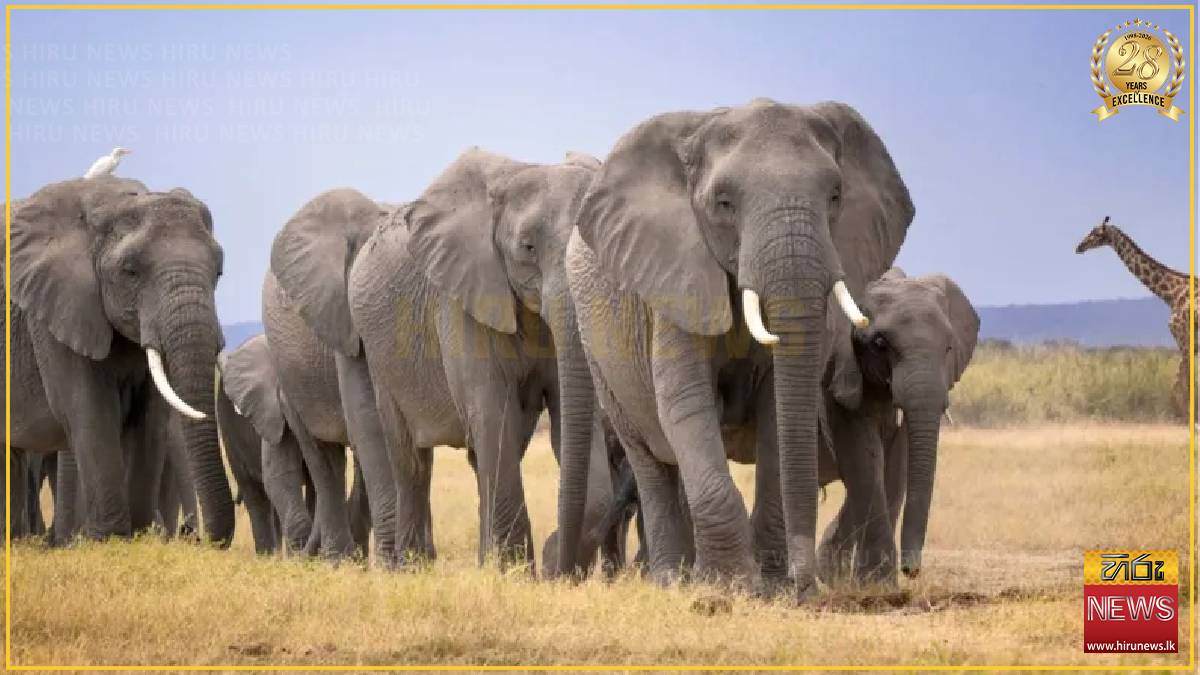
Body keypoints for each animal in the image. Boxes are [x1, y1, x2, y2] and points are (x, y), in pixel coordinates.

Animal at [4, 179, 235, 543]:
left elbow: (150, 420)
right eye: (130, 271)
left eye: (219, 271)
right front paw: (110, 540)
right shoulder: (55, 312)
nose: (196, 535)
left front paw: (137, 538)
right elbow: (91, 411)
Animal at [270, 148, 612, 571]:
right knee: (409, 460)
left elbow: (571, 414)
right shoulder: (459, 301)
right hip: (378, 351)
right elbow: (490, 413)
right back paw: (410, 567)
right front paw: (514, 572)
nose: (556, 566)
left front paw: (526, 567)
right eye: (528, 248)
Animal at [560, 99, 914, 597]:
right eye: (723, 203)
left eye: (835, 196)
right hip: (599, 351)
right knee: (651, 459)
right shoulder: (675, 276)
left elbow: (777, 411)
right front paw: (727, 588)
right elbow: (687, 403)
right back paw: (671, 581)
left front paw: (771, 588)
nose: (807, 587)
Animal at [816, 268, 979, 584]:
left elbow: (897, 464)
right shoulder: (839, 379)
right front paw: (877, 585)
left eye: (948, 347)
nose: (911, 569)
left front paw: (868, 583)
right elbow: (865, 459)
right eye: (880, 344)